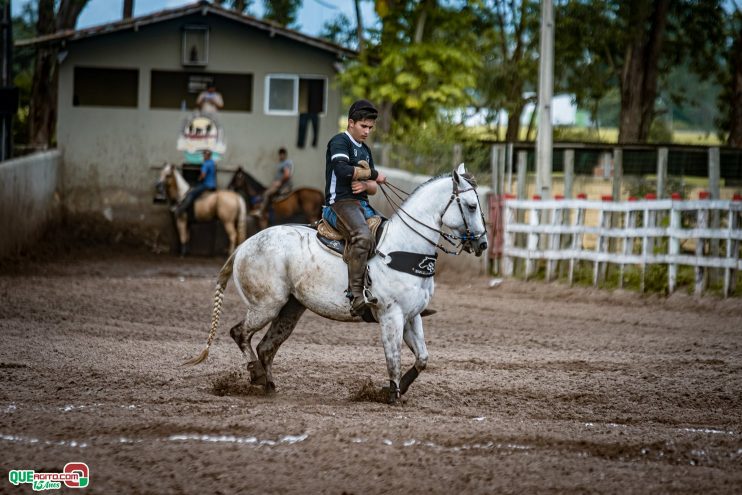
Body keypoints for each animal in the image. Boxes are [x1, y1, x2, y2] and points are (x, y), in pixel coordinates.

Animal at [185, 163, 488, 404]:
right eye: (472, 206)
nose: (482, 244)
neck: (404, 248)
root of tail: (243, 246)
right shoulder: (391, 316)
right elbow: (393, 358)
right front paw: (392, 395)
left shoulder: (412, 317)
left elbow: (422, 359)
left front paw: (394, 389)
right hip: (266, 305)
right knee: (241, 334)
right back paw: (257, 375)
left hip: (290, 309)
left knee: (266, 347)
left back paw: (269, 385)